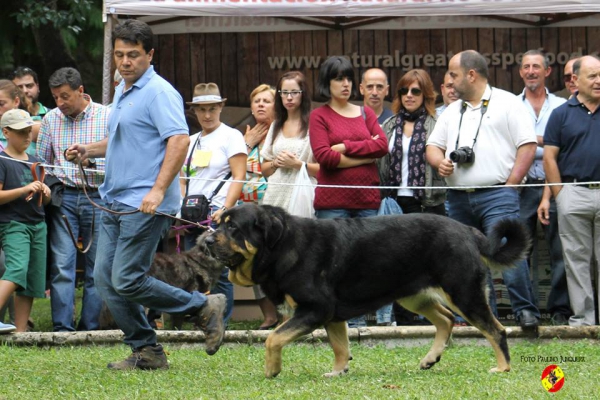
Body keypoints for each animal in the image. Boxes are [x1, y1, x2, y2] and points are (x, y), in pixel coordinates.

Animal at [202, 203, 528, 378]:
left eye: (233, 228)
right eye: (219, 223)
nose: (206, 240)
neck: (281, 245)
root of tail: (470, 232)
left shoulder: (316, 309)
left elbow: (273, 338)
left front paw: (272, 370)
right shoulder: (331, 315)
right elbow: (340, 347)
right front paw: (338, 372)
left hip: (463, 292)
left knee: (495, 329)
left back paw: (503, 368)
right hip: (415, 296)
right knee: (446, 320)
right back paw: (430, 358)